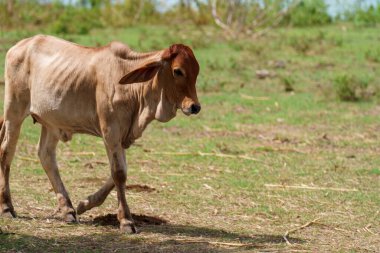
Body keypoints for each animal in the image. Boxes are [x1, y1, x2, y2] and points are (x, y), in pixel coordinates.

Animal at [0, 35, 202, 233]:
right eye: (177, 71)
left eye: (197, 71)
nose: (195, 107)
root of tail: (21, 45)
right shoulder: (110, 132)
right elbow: (119, 173)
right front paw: (126, 221)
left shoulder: (121, 137)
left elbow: (119, 172)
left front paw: (84, 204)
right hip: (14, 112)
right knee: (6, 152)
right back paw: (7, 207)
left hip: (52, 123)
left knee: (46, 156)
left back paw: (68, 210)